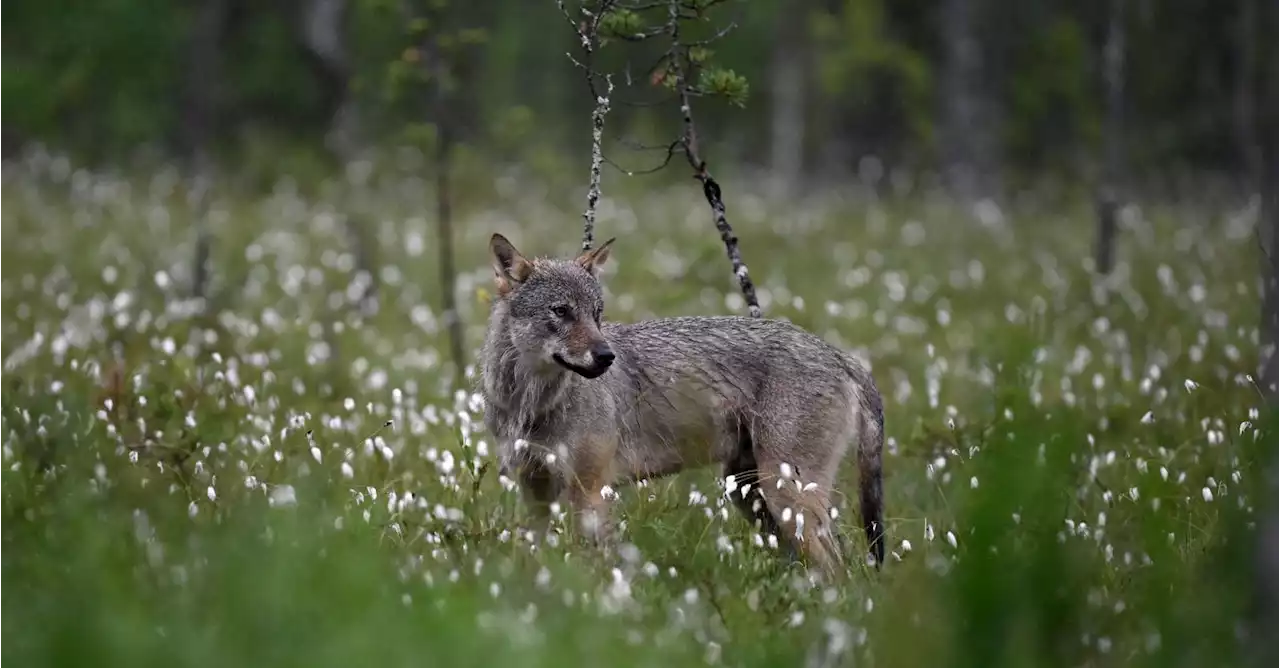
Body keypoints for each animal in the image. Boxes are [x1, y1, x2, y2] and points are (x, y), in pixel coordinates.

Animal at [476, 232, 885, 570]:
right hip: (752, 497)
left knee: (841, 570)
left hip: (785, 499)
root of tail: (840, 355)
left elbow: (594, 566)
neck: (530, 403)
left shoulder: (591, 492)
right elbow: (536, 560)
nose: (606, 357)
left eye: (596, 314)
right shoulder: (535, 491)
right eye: (561, 311)